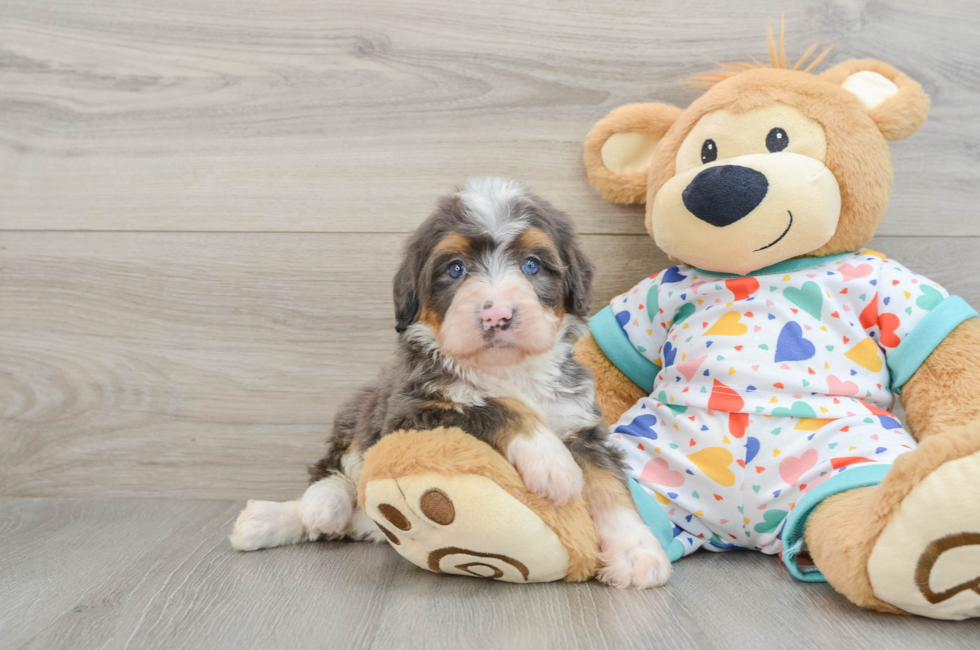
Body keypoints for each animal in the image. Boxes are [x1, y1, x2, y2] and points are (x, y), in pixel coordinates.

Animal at [232, 177, 672, 588]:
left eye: (532, 265)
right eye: (455, 268)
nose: (497, 315)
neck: (507, 370)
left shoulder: (581, 423)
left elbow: (611, 486)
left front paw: (637, 553)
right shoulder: (411, 410)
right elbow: (492, 405)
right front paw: (551, 462)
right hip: (363, 407)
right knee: (336, 466)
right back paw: (298, 512)